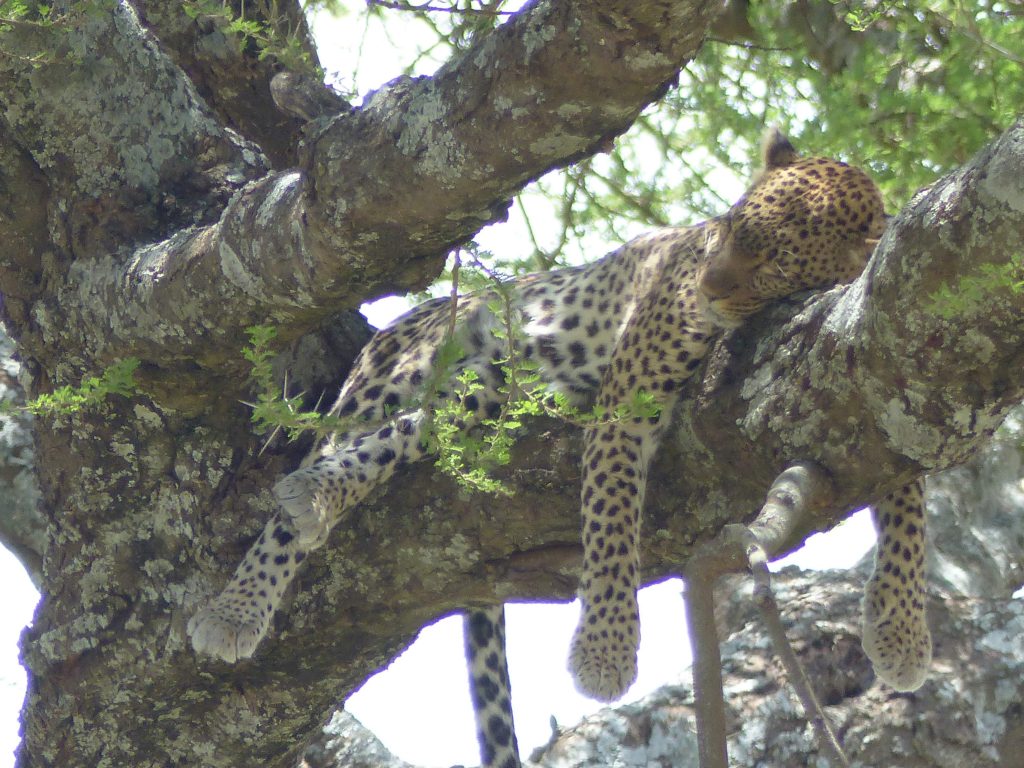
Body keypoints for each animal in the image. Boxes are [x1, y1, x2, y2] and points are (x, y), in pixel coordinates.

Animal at [190, 131, 937, 765]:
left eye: (775, 257)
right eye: (726, 229)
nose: (706, 285)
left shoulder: (874, 372)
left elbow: (909, 500)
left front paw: (901, 630)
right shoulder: (629, 394)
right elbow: (612, 518)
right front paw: (606, 652)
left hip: (488, 392)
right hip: (418, 365)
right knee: (324, 468)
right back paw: (244, 597)